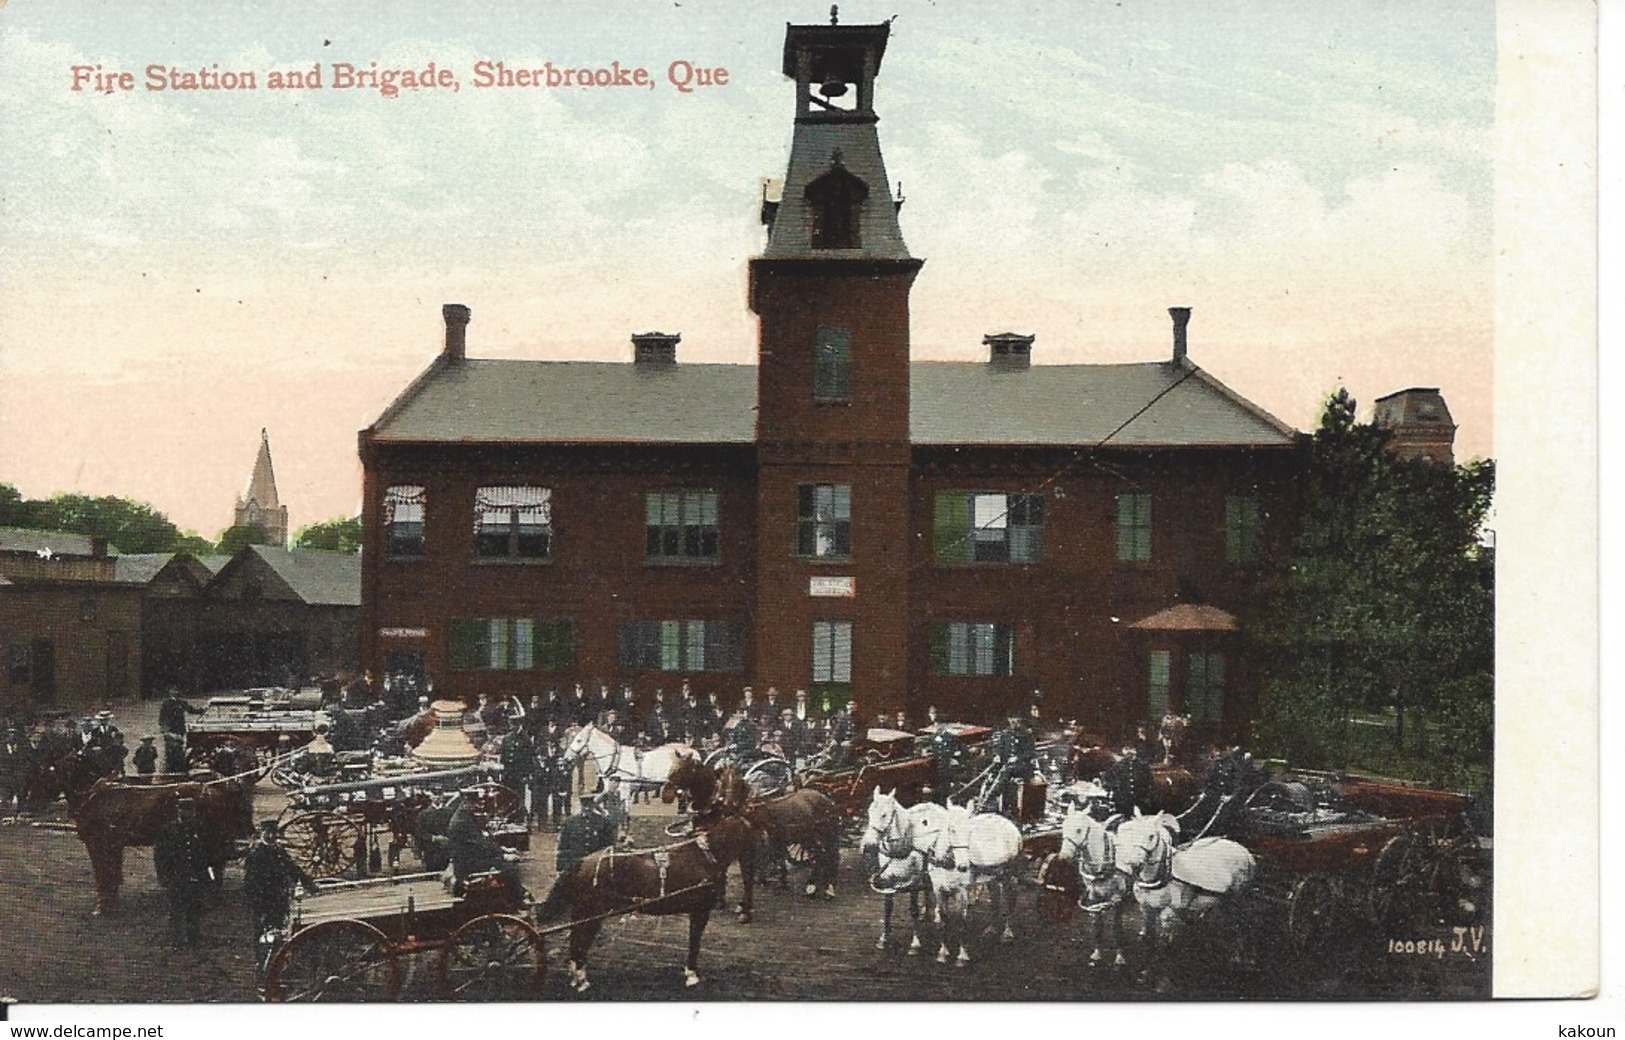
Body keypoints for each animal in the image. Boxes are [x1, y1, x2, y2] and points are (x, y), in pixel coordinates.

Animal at [24, 744, 250, 916]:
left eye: (45, 772)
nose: (30, 801)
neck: (96, 795)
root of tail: (221, 784)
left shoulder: (99, 844)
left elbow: (104, 874)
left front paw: (103, 906)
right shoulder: (113, 845)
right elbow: (113, 874)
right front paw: (111, 902)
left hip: (213, 837)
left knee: (217, 865)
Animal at [533, 812, 760, 988]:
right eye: (751, 830)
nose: (763, 847)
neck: (704, 857)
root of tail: (580, 862)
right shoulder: (700, 911)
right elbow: (695, 942)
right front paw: (692, 974)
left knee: (576, 940)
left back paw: (576, 975)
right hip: (590, 912)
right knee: (580, 940)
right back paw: (581, 978)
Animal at [851, 786, 949, 962]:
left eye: (884, 814)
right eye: (869, 811)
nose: (868, 846)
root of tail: (931, 803)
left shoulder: (914, 883)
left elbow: (913, 910)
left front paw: (915, 944)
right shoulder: (886, 880)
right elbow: (887, 909)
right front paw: (884, 938)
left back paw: (937, 914)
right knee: (928, 889)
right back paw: (927, 912)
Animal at [923, 799, 1020, 962]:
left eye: (969, 832)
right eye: (951, 829)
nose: (963, 866)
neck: (947, 863)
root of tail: (1007, 822)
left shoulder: (962, 892)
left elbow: (962, 924)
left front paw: (962, 956)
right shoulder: (939, 891)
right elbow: (944, 921)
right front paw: (942, 953)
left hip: (1008, 873)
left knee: (1009, 898)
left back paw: (1007, 933)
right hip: (993, 875)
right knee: (995, 897)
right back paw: (991, 929)